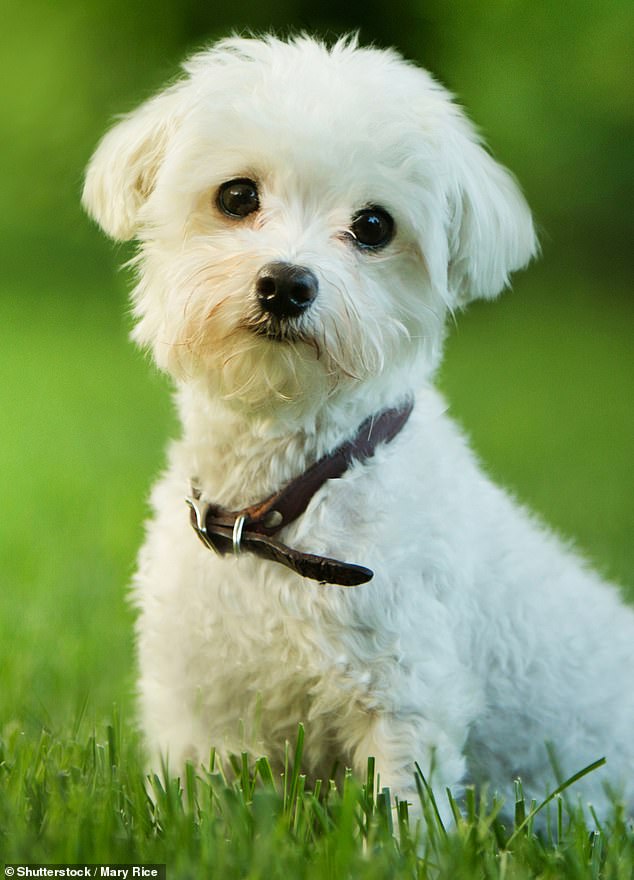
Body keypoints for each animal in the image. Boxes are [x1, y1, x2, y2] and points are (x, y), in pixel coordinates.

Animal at [84, 32, 632, 820]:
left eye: (374, 227)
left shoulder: (407, 695)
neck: (282, 501)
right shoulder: (198, 708)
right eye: (236, 196)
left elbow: (403, 810)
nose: (286, 284)